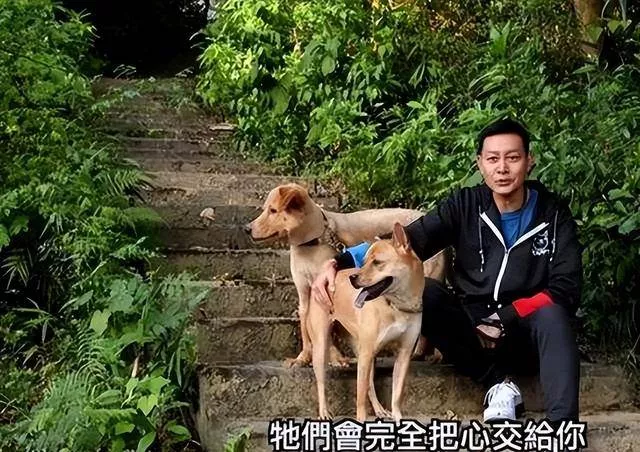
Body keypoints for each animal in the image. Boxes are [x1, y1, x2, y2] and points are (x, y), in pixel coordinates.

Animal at [244, 183, 448, 367]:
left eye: (273, 210)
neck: (311, 243)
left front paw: (335, 358)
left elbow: (331, 328)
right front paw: (303, 358)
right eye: (265, 209)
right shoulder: (305, 294)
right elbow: (306, 328)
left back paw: (432, 355)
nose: (246, 229)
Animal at [307, 222, 424, 421]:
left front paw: (398, 418)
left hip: (364, 351)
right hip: (323, 347)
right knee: (322, 382)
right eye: (362, 262)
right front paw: (361, 420)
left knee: (369, 384)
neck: (397, 305)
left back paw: (379, 409)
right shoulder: (367, 353)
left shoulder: (403, 354)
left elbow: (396, 395)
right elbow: (360, 396)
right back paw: (324, 412)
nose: (352, 278)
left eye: (377, 263)